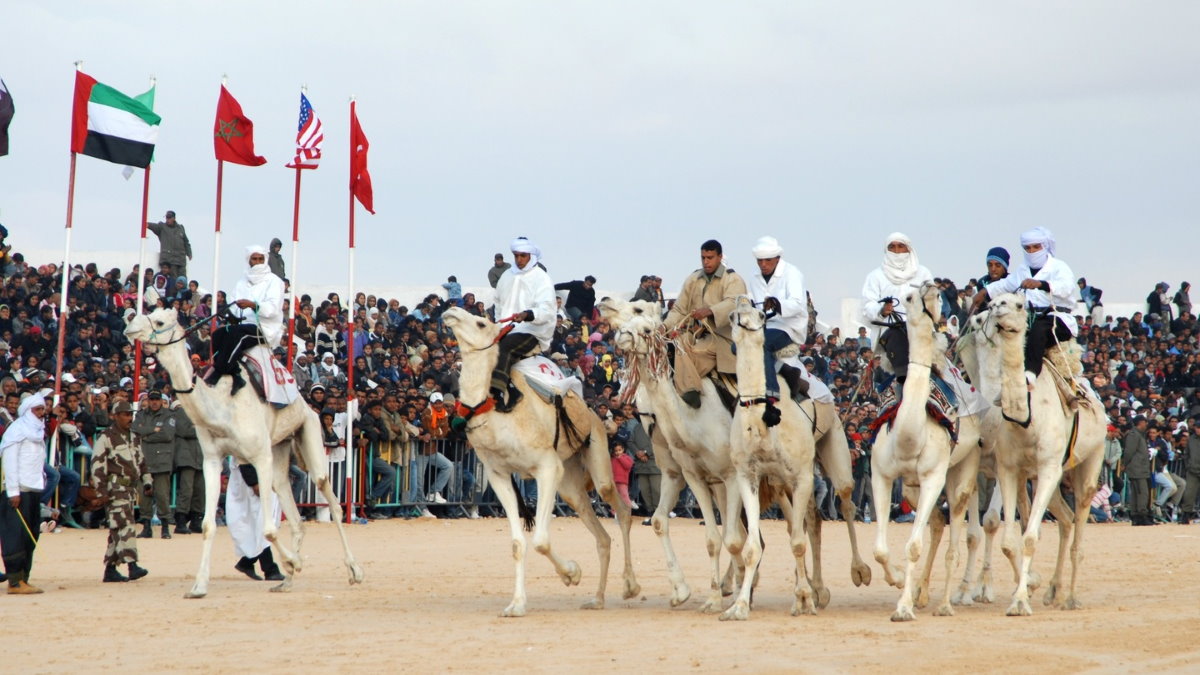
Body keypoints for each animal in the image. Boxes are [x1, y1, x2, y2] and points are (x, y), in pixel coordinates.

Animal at [126, 307, 362, 595]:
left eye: (159, 321)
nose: (129, 327)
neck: (222, 408)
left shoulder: (260, 456)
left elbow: (268, 529)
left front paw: (293, 562)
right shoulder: (212, 460)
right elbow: (207, 525)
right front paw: (198, 586)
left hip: (309, 428)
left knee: (329, 495)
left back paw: (354, 571)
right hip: (280, 448)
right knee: (293, 510)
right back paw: (286, 582)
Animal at [446, 305, 643, 614]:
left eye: (480, 323)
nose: (451, 311)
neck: (496, 410)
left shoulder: (547, 467)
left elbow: (540, 540)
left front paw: (572, 573)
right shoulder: (498, 474)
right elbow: (518, 543)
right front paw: (516, 605)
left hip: (597, 453)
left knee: (620, 509)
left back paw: (630, 586)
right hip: (570, 480)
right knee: (599, 533)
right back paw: (596, 599)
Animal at [715, 296, 820, 619]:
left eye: (762, 314)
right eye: (733, 316)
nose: (744, 310)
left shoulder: (801, 477)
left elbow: (798, 542)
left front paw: (805, 600)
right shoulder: (747, 476)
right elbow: (751, 547)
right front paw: (738, 607)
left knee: (809, 526)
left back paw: (812, 594)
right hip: (778, 485)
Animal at [873, 279, 984, 619]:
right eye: (908, 297)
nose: (929, 287)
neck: (910, 435)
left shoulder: (934, 476)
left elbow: (913, 546)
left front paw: (903, 607)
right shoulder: (881, 475)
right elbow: (880, 549)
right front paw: (899, 582)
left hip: (963, 467)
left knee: (956, 532)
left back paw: (945, 604)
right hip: (911, 487)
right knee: (935, 523)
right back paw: (922, 594)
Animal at [984, 291, 1104, 612]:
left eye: (1018, 304)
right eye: (994, 300)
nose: (996, 308)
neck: (1027, 416)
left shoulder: (1049, 466)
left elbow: (1030, 538)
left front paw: (1020, 601)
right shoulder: (1009, 468)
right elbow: (1011, 539)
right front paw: (1024, 591)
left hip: (1091, 460)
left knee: (1079, 523)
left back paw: (1071, 597)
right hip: (1041, 476)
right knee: (1064, 517)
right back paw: (1053, 591)